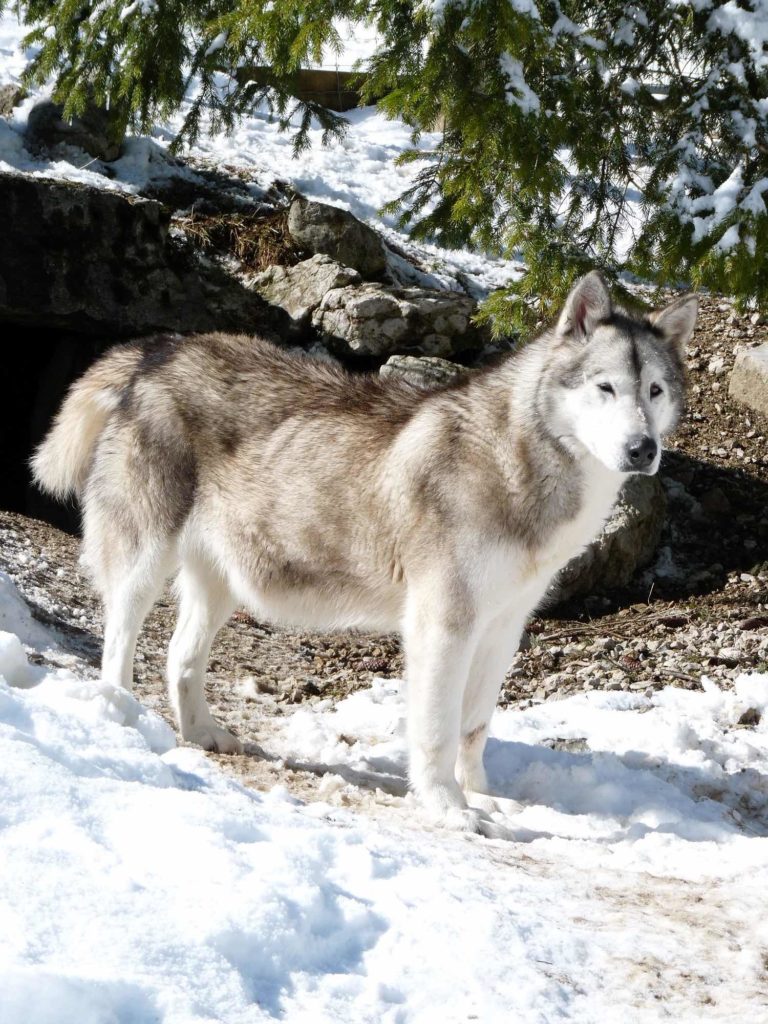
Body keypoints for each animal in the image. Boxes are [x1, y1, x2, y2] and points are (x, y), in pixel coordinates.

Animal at [33, 272, 700, 831]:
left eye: (654, 390)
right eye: (605, 388)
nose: (642, 449)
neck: (520, 467)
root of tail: (158, 352)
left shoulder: (504, 627)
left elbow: (474, 726)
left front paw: (484, 797)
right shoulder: (442, 624)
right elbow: (436, 731)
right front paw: (451, 810)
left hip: (222, 584)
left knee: (179, 658)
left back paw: (202, 735)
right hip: (146, 564)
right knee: (118, 643)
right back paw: (123, 719)